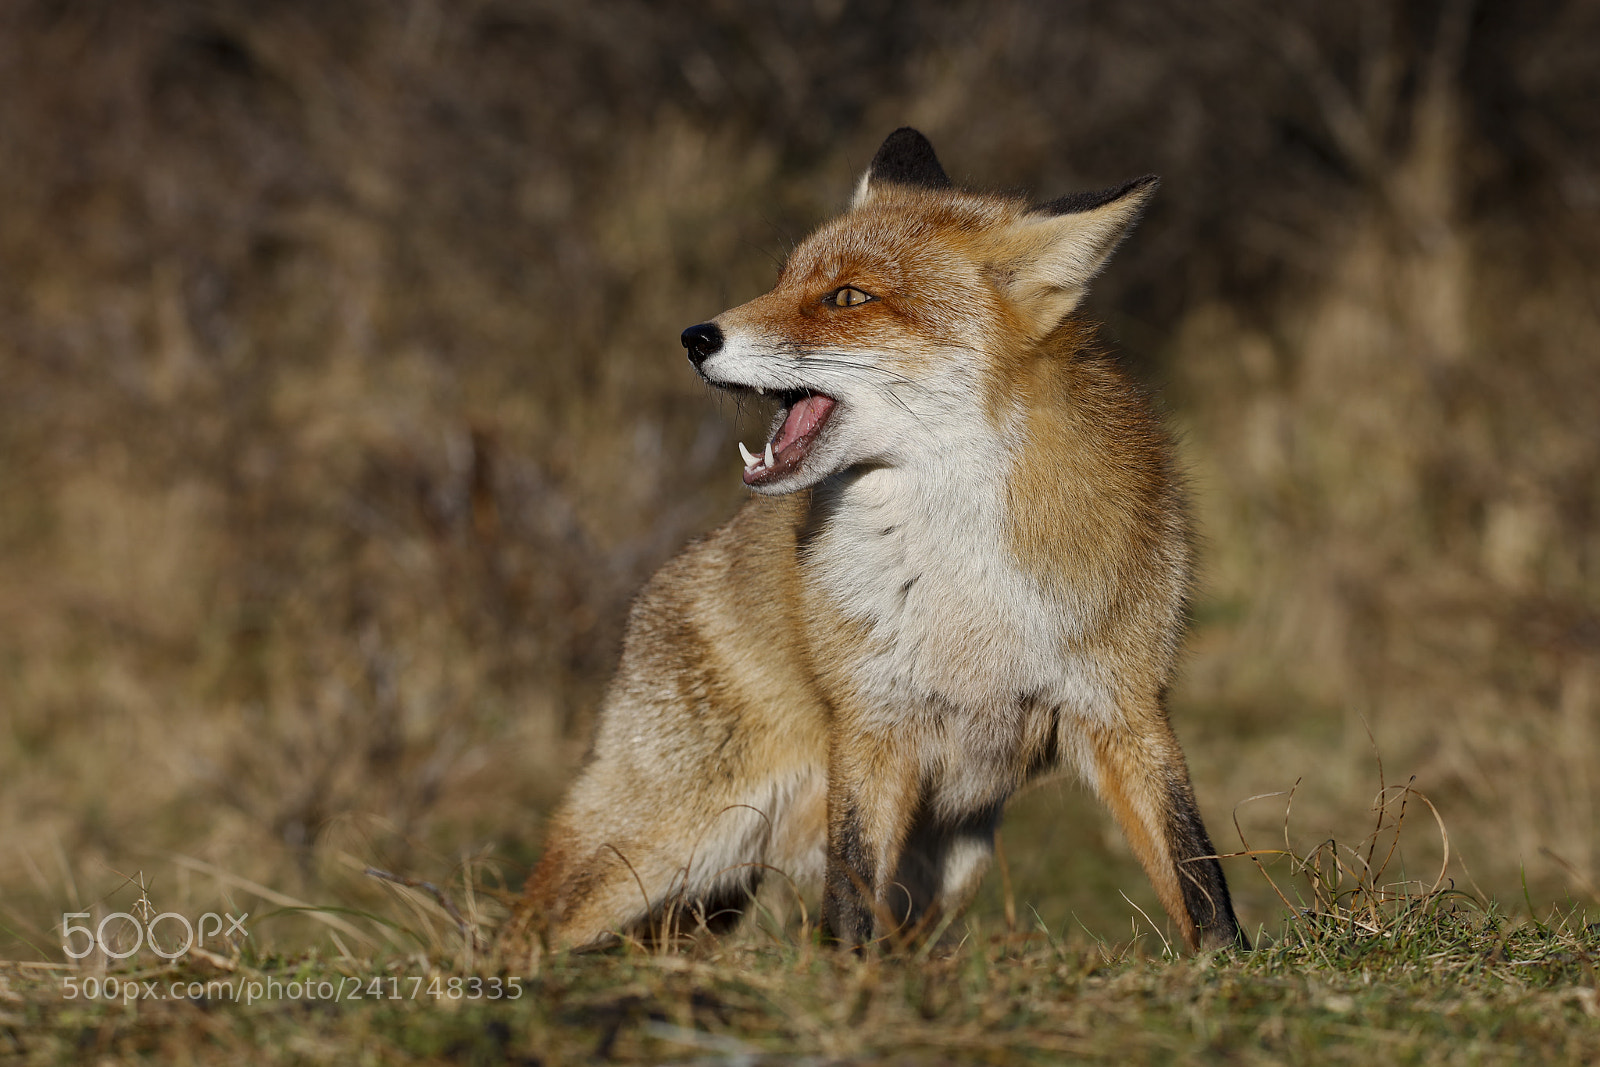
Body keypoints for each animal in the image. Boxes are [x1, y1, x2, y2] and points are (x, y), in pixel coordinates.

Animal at [507, 128, 1244, 954]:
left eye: (849, 297)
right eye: (783, 280)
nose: (694, 337)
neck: (964, 586)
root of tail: (658, 588)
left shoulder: (1124, 702)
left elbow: (1194, 866)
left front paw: (1227, 965)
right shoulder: (871, 723)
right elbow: (851, 882)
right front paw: (846, 977)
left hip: (946, 865)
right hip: (659, 847)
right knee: (521, 924)